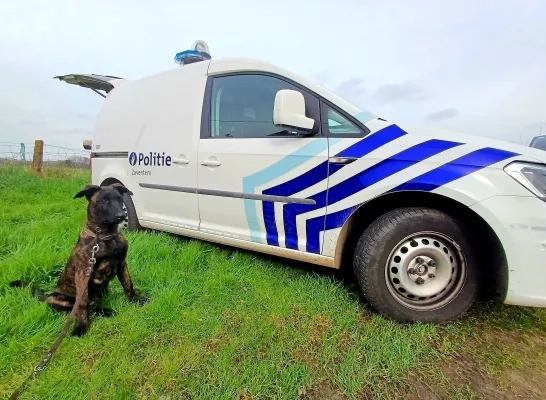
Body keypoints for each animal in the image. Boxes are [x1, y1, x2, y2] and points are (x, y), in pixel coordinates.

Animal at [10, 183, 147, 336]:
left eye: (119, 199)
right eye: (104, 200)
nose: (121, 215)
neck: (105, 237)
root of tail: (47, 295)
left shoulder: (122, 263)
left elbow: (128, 284)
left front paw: (135, 299)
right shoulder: (83, 272)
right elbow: (82, 304)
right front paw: (81, 326)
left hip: (103, 289)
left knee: (93, 303)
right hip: (56, 299)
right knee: (80, 307)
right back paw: (102, 311)